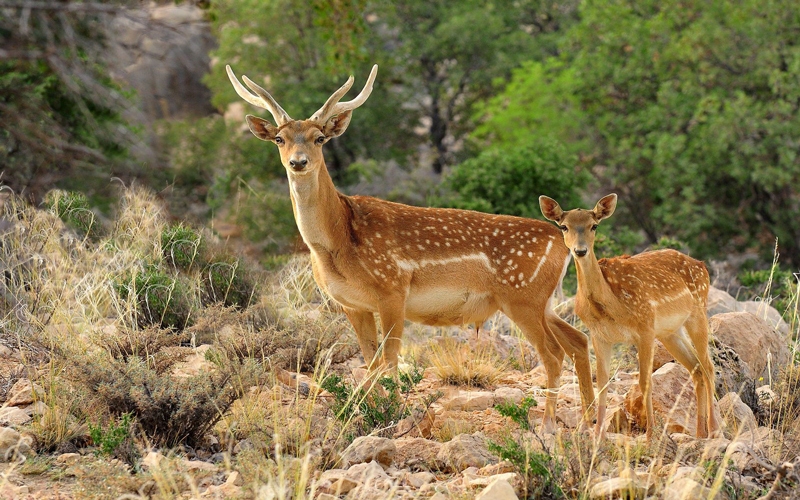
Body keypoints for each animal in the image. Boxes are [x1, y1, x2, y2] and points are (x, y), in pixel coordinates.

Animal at [228, 64, 596, 432]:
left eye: (320, 138)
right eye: (280, 138)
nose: (298, 162)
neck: (338, 241)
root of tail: (561, 243)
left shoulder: (392, 288)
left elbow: (389, 361)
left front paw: (392, 417)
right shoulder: (352, 304)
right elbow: (370, 361)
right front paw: (371, 414)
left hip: (522, 297)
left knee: (553, 354)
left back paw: (548, 424)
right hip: (543, 301)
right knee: (578, 341)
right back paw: (588, 418)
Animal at [536, 193, 720, 440]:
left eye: (594, 225)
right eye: (564, 226)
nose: (580, 250)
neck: (610, 306)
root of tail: (703, 266)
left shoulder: (645, 328)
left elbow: (645, 381)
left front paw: (650, 434)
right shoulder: (599, 336)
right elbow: (602, 382)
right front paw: (597, 433)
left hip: (698, 313)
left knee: (708, 367)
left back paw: (714, 429)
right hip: (670, 332)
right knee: (696, 369)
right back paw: (700, 433)